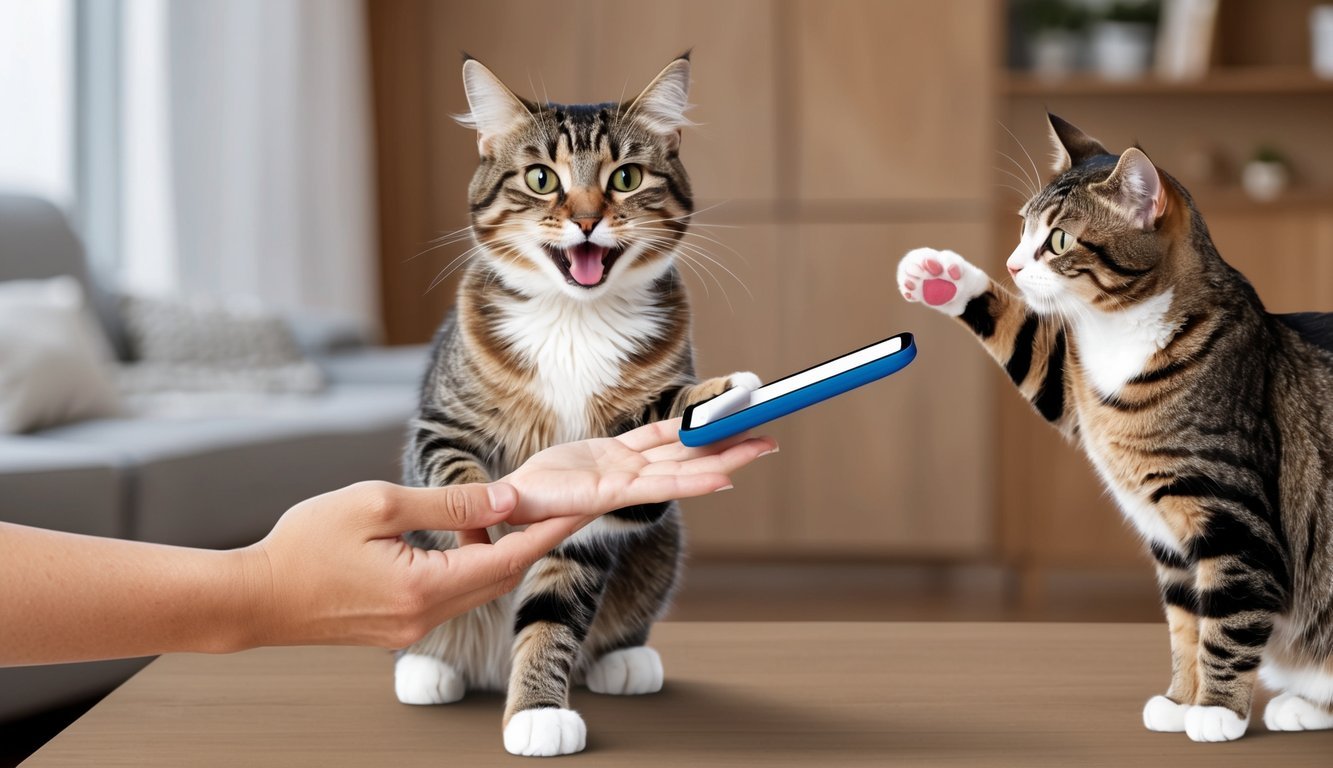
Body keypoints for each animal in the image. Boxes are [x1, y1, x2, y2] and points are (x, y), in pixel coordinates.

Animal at [389, 57, 757, 757]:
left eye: (626, 177)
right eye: (541, 179)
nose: (586, 220)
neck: (574, 318)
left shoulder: (607, 510)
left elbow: (555, 610)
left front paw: (537, 712)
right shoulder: (440, 425)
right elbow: (455, 472)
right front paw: (485, 524)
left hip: (662, 550)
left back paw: (624, 660)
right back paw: (429, 665)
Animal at [901, 112, 1327, 736]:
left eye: (1057, 240)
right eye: (1023, 227)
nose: (1011, 263)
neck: (1117, 334)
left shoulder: (1234, 521)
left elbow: (1226, 620)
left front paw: (1215, 712)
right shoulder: (1082, 402)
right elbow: (1186, 623)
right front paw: (942, 277)